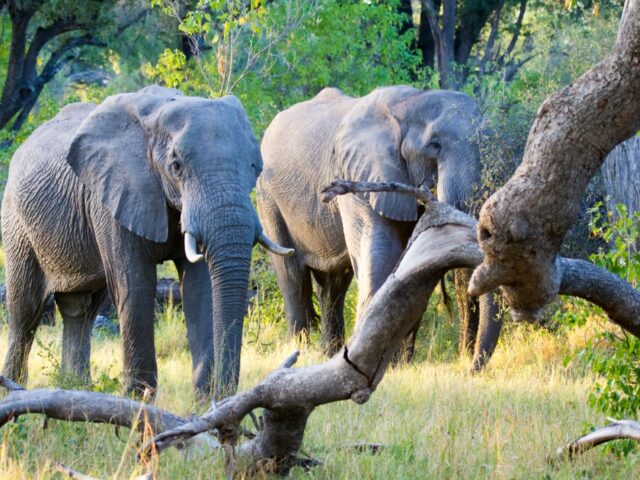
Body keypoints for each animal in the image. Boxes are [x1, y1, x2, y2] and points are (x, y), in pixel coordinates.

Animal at [1, 85, 292, 398]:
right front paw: (138, 398)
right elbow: (135, 283)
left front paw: (201, 398)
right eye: (176, 166)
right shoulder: (114, 194)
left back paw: (76, 388)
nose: (222, 392)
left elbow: (199, 288)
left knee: (81, 309)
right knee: (26, 309)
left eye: (254, 167)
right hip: (16, 221)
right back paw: (15, 388)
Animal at [258, 86, 502, 366]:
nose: (468, 362)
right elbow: (379, 251)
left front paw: (399, 363)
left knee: (334, 285)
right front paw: (378, 362)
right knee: (293, 276)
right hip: (267, 196)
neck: (410, 103)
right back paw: (302, 351)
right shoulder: (355, 176)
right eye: (434, 145)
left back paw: (328, 353)